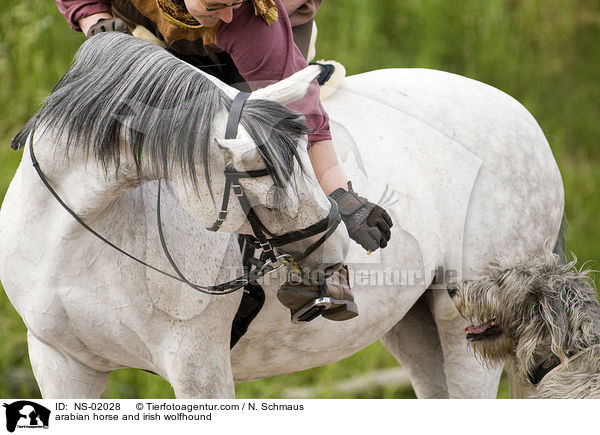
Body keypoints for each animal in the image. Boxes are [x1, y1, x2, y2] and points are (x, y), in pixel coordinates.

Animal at [0, 34, 564, 398]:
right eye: (256, 168)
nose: (335, 251)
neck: (78, 235)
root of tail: (523, 116)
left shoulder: (199, 368)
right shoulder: (62, 364)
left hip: (468, 324)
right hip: (414, 324)